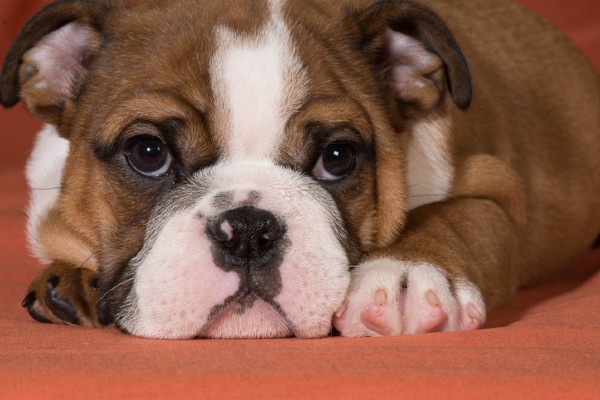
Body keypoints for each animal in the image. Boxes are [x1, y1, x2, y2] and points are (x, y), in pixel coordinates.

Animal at [1, 0, 600, 340]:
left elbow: (461, 216)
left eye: (338, 158)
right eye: (148, 153)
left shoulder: (498, 193)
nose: (248, 229)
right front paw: (71, 279)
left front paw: (406, 274)